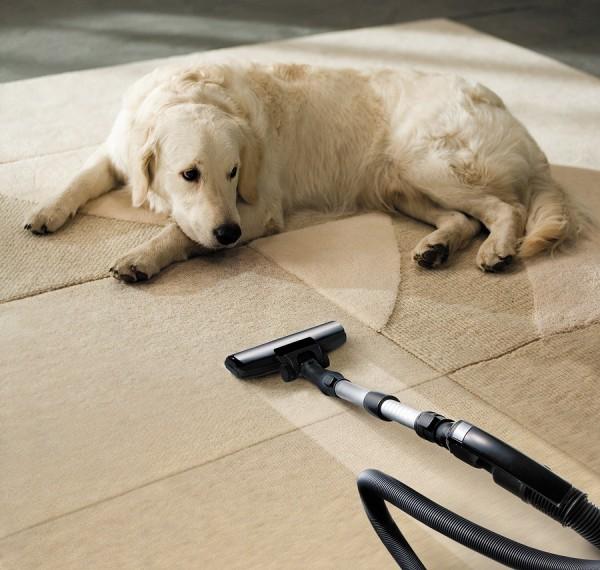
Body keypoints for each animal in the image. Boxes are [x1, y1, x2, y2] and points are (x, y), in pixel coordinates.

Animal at [23, 62, 576, 282]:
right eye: (189, 174)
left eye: (234, 171)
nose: (229, 235)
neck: (188, 93)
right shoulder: (116, 150)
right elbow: (78, 179)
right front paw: (46, 212)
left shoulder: (259, 208)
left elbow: (179, 232)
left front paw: (141, 257)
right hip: (400, 182)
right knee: (463, 218)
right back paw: (436, 248)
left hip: (429, 163)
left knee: (505, 208)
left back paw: (497, 249)